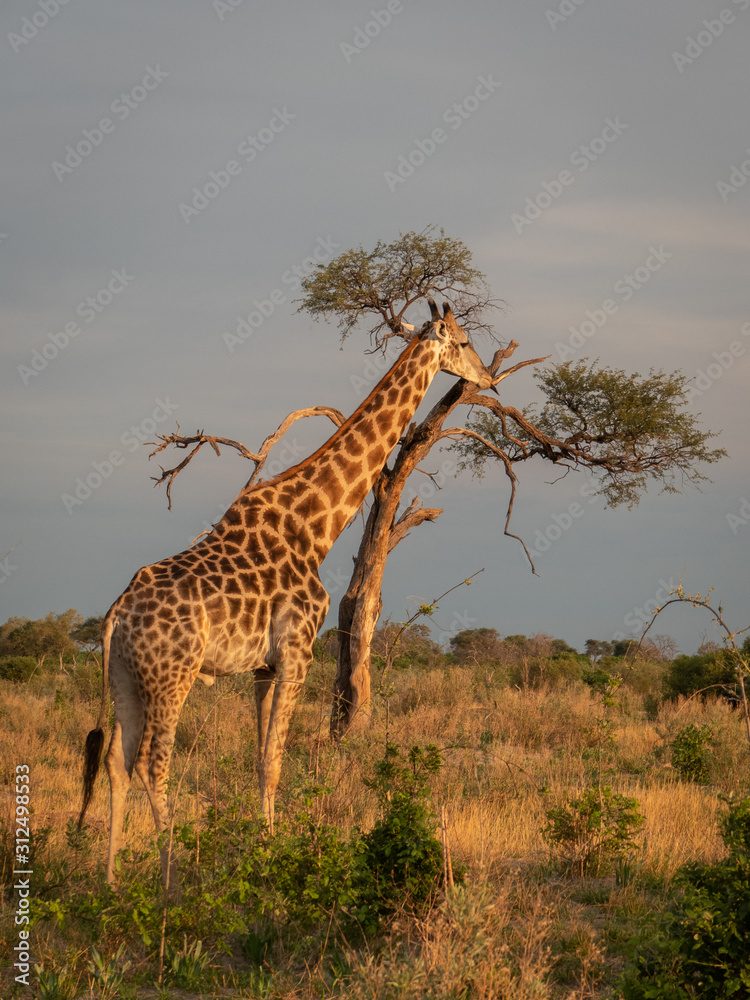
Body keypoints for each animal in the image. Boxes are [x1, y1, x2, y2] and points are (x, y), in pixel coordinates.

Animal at [78, 301, 494, 886]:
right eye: (462, 341)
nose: (488, 378)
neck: (315, 526)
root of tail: (118, 611)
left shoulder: (263, 665)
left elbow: (259, 760)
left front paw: (260, 848)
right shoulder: (298, 653)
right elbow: (276, 761)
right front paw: (273, 861)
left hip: (124, 676)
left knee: (117, 761)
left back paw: (111, 881)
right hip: (172, 675)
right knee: (152, 765)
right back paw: (169, 883)